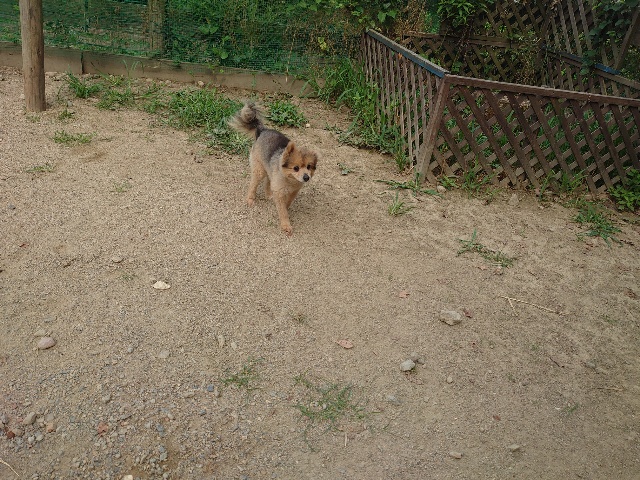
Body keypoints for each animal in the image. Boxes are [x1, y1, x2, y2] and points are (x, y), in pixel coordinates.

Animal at [230, 102, 318, 235]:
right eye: (296, 168)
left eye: (309, 167)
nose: (306, 177)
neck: (289, 180)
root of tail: (262, 130)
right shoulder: (280, 193)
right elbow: (283, 211)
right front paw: (286, 225)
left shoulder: (293, 192)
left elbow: (287, 203)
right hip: (259, 170)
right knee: (253, 184)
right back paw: (250, 199)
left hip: (269, 169)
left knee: (268, 181)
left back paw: (268, 195)